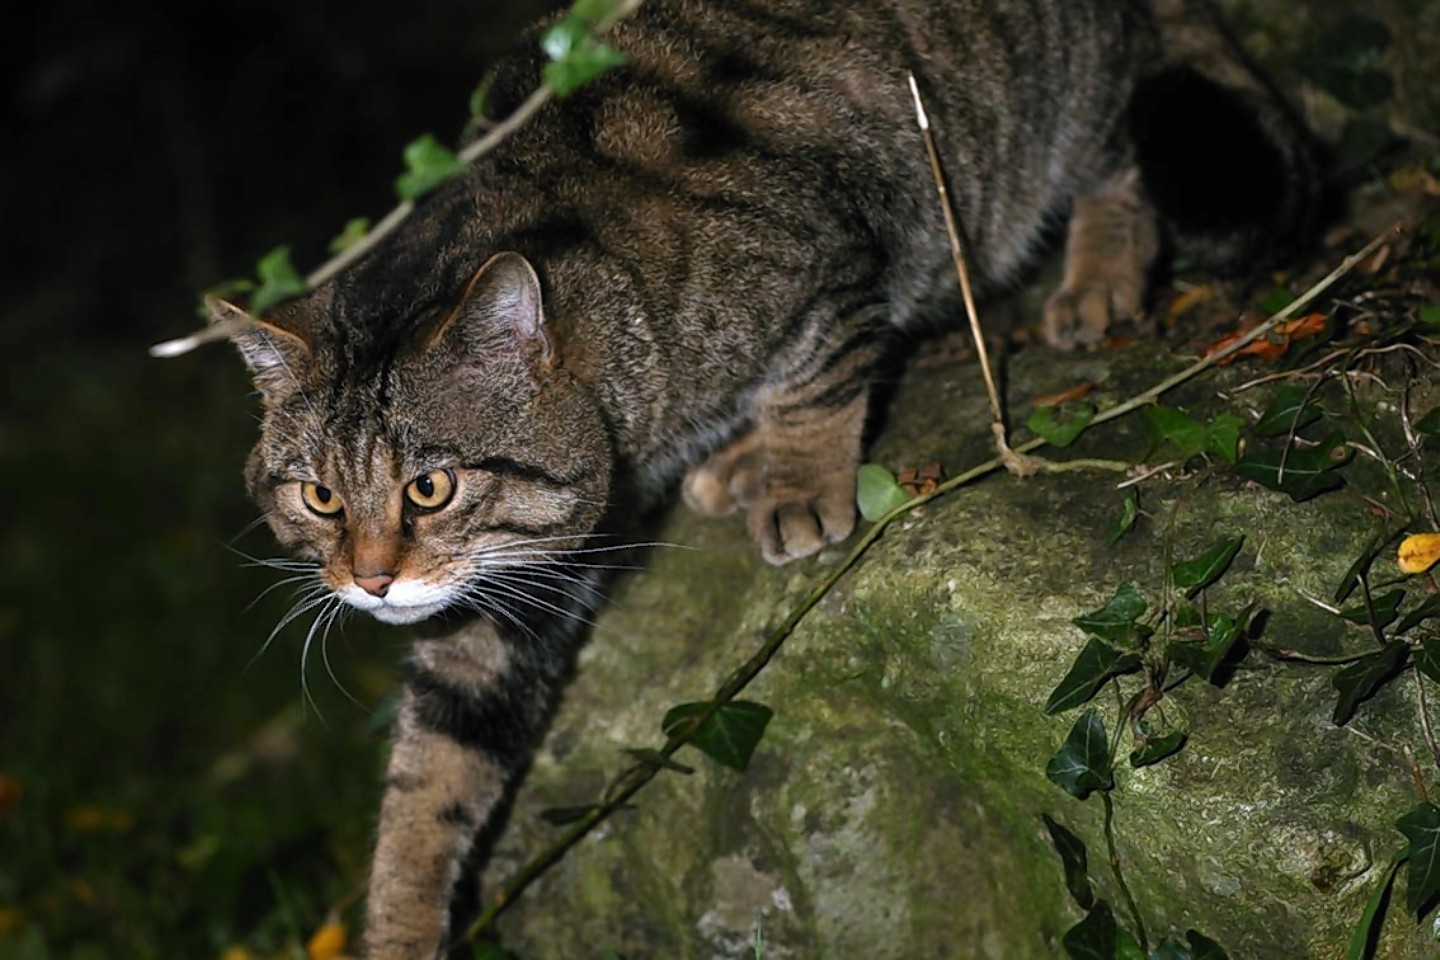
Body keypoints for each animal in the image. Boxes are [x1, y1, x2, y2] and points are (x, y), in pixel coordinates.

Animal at [218, 0, 1313, 949]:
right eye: (320, 497)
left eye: (429, 489)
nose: (370, 580)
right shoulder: (501, 605)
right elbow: (427, 787)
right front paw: (398, 929)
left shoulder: (827, 261)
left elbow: (817, 381)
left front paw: (797, 483)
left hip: (1062, 106)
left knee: (1121, 161)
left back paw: (1096, 283)